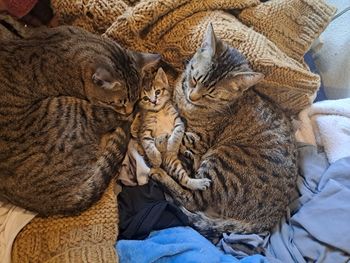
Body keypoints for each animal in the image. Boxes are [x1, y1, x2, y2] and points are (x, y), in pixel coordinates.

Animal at [150, 24, 298, 239]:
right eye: (194, 79)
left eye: (211, 95)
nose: (193, 97)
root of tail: (270, 219)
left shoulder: (198, 139)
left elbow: (177, 135)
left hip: (221, 162)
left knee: (191, 198)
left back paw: (160, 175)